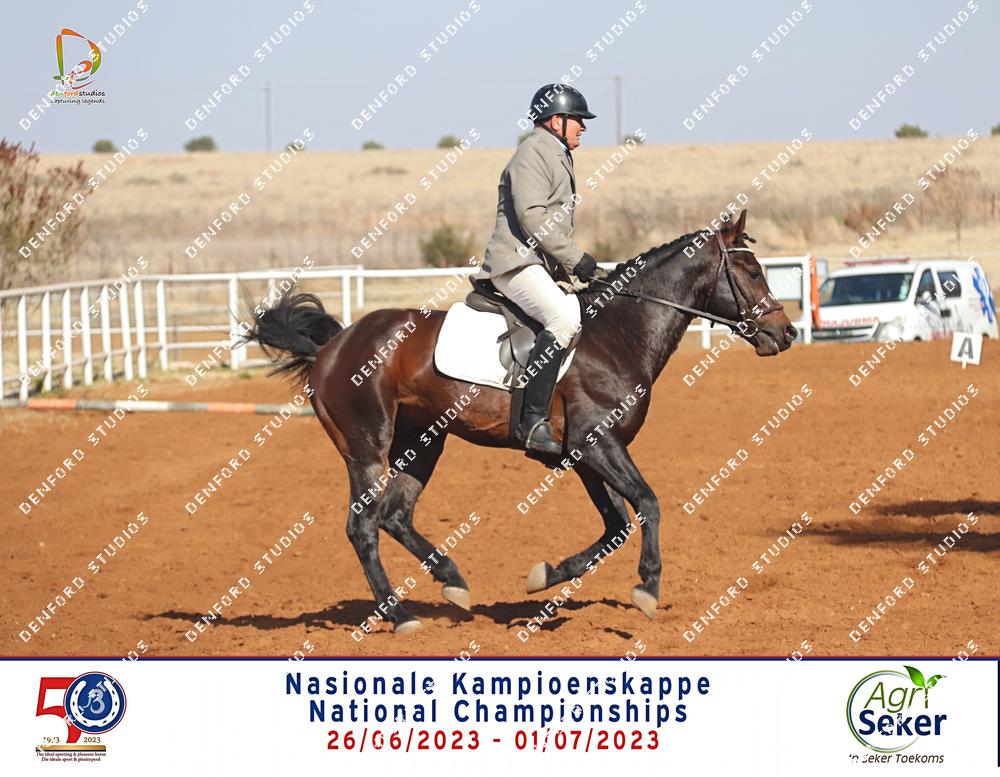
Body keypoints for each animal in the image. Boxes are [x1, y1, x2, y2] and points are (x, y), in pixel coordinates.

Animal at [244, 209, 797, 635]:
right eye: (751, 272)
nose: (786, 332)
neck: (619, 333)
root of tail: (332, 346)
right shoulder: (598, 445)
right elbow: (647, 504)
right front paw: (647, 588)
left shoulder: (585, 456)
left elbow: (616, 526)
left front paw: (545, 576)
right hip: (367, 449)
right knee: (363, 526)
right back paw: (401, 616)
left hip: (423, 443)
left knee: (394, 516)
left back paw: (453, 583)